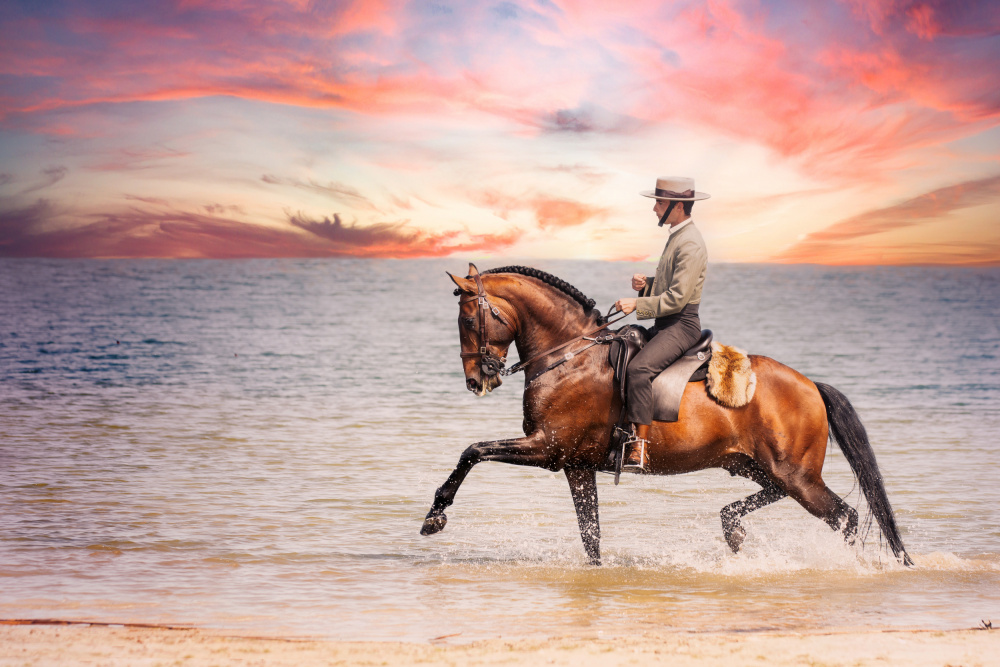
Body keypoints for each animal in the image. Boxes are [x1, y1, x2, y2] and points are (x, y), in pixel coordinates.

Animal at [418, 264, 912, 568]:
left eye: (467, 320)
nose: (475, 381)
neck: (569, 355)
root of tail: (810, 384)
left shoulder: (548, 448)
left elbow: (473, 451)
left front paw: (435, 516)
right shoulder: (576, 467)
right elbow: (591, 535)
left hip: (798, 476)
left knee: (845, 517)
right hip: (758, 466)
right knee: (775, 501)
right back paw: (732, 527)